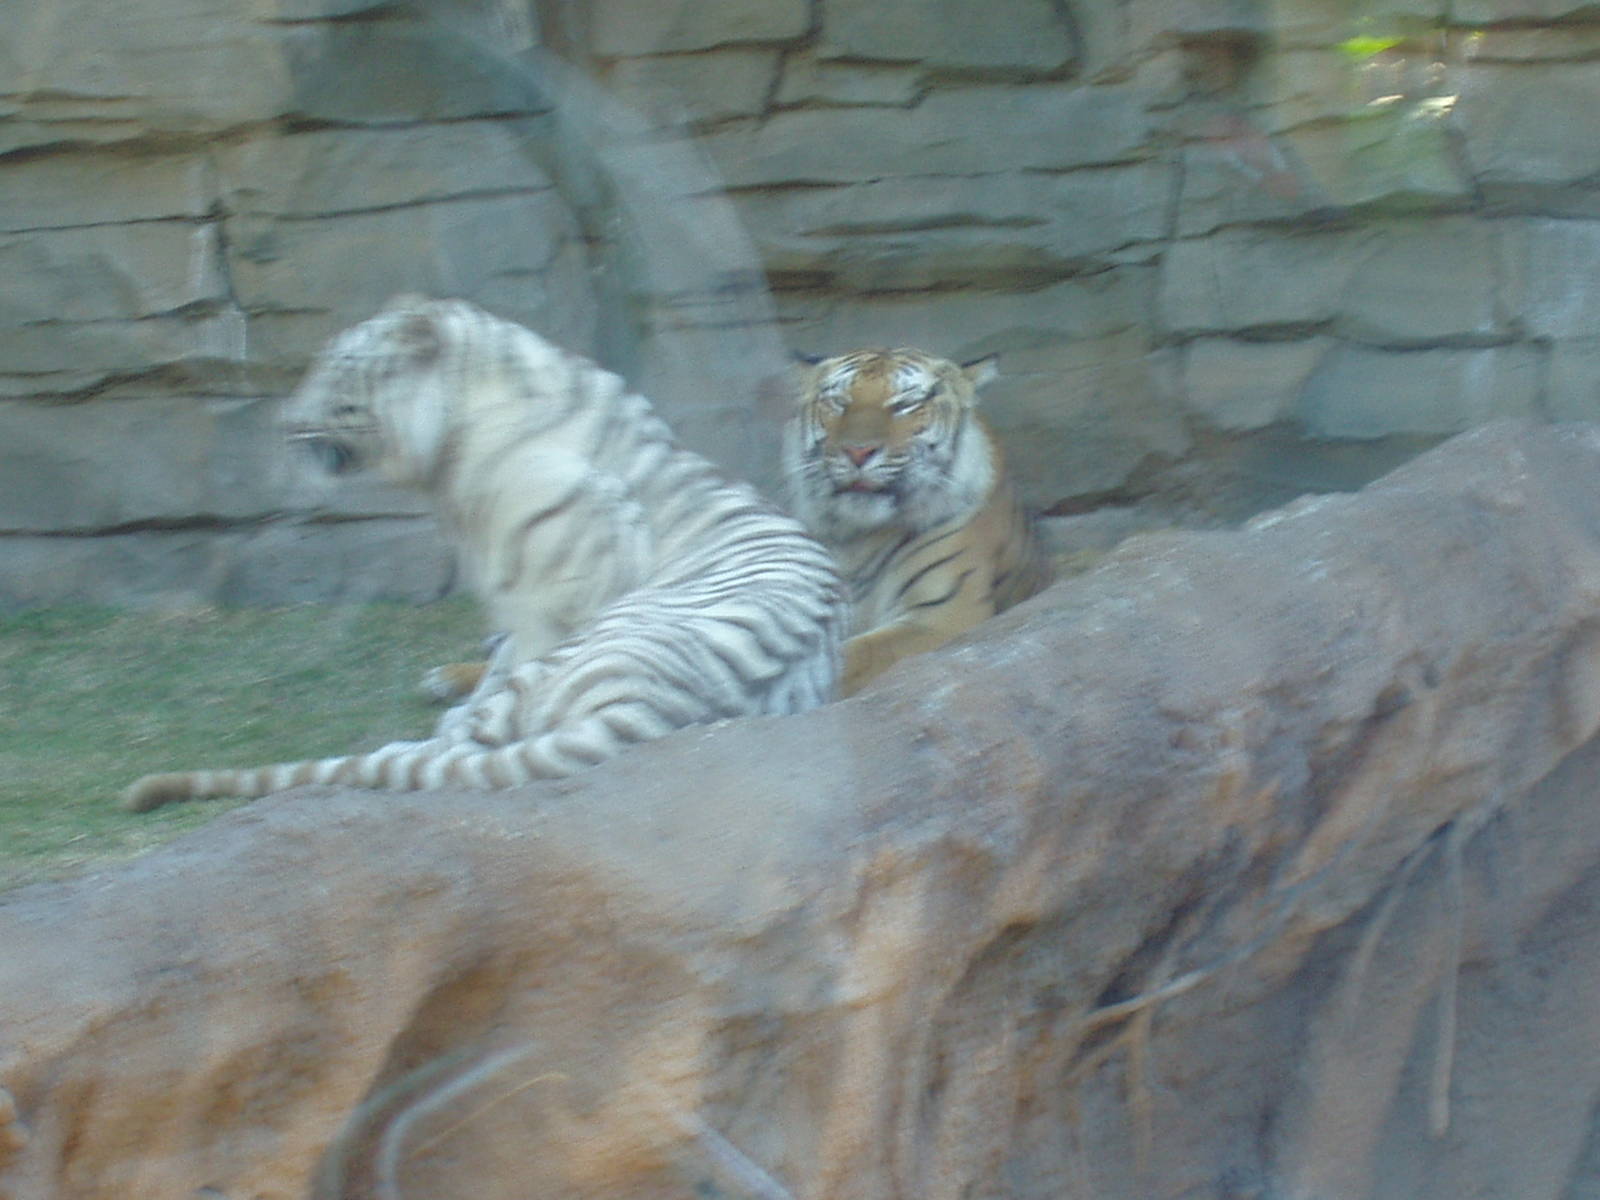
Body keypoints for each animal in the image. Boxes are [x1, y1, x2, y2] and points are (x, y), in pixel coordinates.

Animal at [122, 297, 846, 811]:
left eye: (336, 371)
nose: (285, 424)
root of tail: (645, 713)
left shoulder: (553, 586)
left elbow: (493, 678)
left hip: (572, 653)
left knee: (465, 740)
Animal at [782, 347, 1051, 697]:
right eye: (839, 402)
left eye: (904, 404)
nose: (857, 452)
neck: (859, 537)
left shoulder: (943, 615)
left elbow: (852, 656)